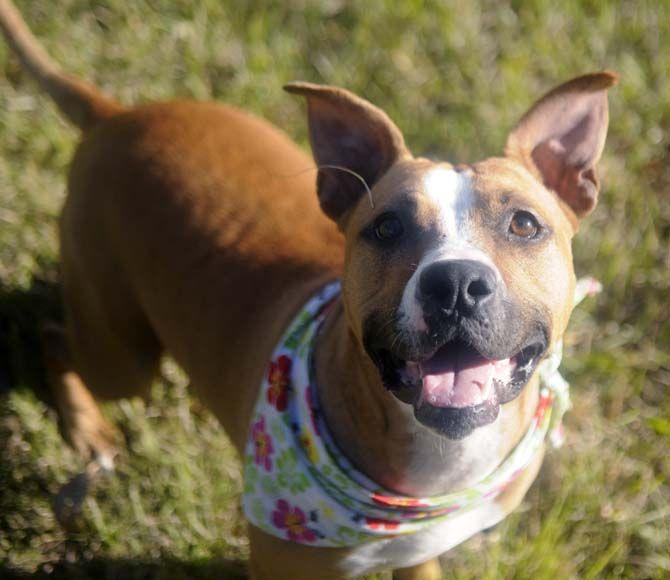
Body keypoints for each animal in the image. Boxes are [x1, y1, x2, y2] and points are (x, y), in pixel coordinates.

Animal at [1, 2, 620, 576]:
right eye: (387, 227)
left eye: (524, 224)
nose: (456, 284)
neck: (439, 469)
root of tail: (115, 114)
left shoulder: (420, 555)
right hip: (124, 359)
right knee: (53, 334)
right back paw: (87, 432)